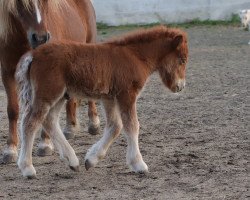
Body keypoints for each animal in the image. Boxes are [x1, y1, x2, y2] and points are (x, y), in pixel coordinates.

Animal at [0, 0, 99, 163]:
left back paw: (94, 124)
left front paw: (45, 144)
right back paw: (70, 128)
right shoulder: (7, 72)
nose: (40, 38)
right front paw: (10, 150)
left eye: (45, 2)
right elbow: (12, 110)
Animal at [16, 25, 188, 177]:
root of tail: (33, 55)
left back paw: (73, 161)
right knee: (30, 123)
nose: (180, 86)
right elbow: (132, 126)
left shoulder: (109, 98)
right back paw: (27, 168)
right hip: (47, 94)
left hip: (60, 96)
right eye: (182, 60)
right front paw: (139, 165)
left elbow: (115, 126)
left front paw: (91, 160)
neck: (135, 56)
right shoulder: (127, 94)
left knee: (49, 120)